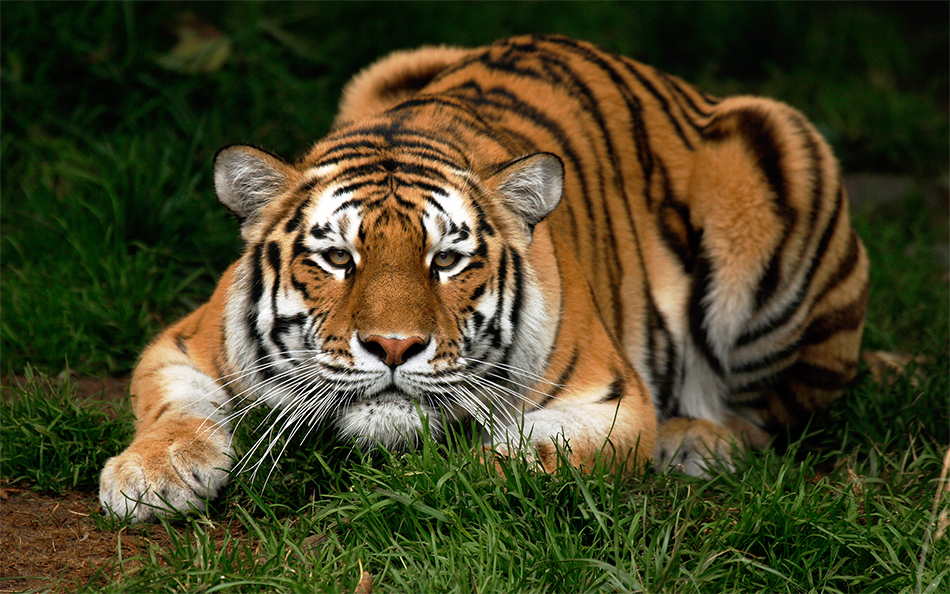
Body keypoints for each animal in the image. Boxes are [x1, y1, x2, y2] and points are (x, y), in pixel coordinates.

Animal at [99, 35, 868, 522]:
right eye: (339, 259)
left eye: (446, 260)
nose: (394, 347)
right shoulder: (183, 343)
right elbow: (175, 409)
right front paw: (149, 477)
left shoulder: (610, 402)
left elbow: (520, 461)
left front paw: (425, 489)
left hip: (778, 155)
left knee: (775, 416)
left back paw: (697, 442)